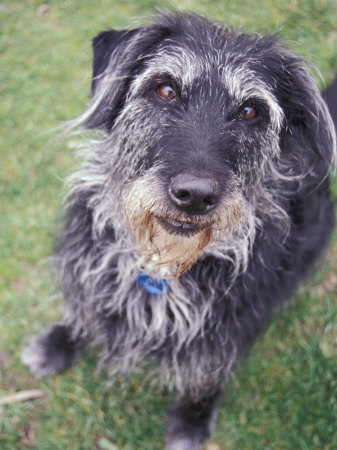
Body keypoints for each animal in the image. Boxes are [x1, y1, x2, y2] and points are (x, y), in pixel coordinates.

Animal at [22, 12, 334, 448]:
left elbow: (206, 375)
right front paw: (57, 343)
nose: (195, 195)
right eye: (166, 89)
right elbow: (81, 306)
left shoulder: (228, 328)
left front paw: (192, 421)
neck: (162, 264)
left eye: (250, 111)